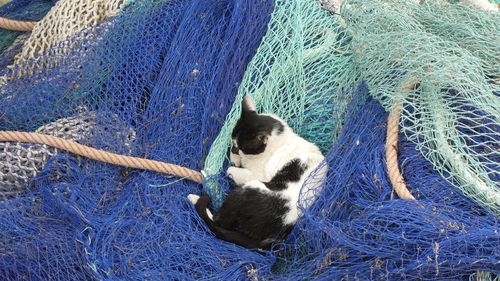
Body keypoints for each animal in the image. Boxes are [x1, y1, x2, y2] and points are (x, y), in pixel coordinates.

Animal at [188, 97, 328, 249]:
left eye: (242, 147)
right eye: (234, 144)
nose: (235, 150)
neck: (283, 138)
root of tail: (276, 235)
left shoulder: (258, 174)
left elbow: (231, 169)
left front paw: (234, 164)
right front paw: (235, 159)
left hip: (250, 188)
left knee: (220, 222)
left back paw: (194, 198)